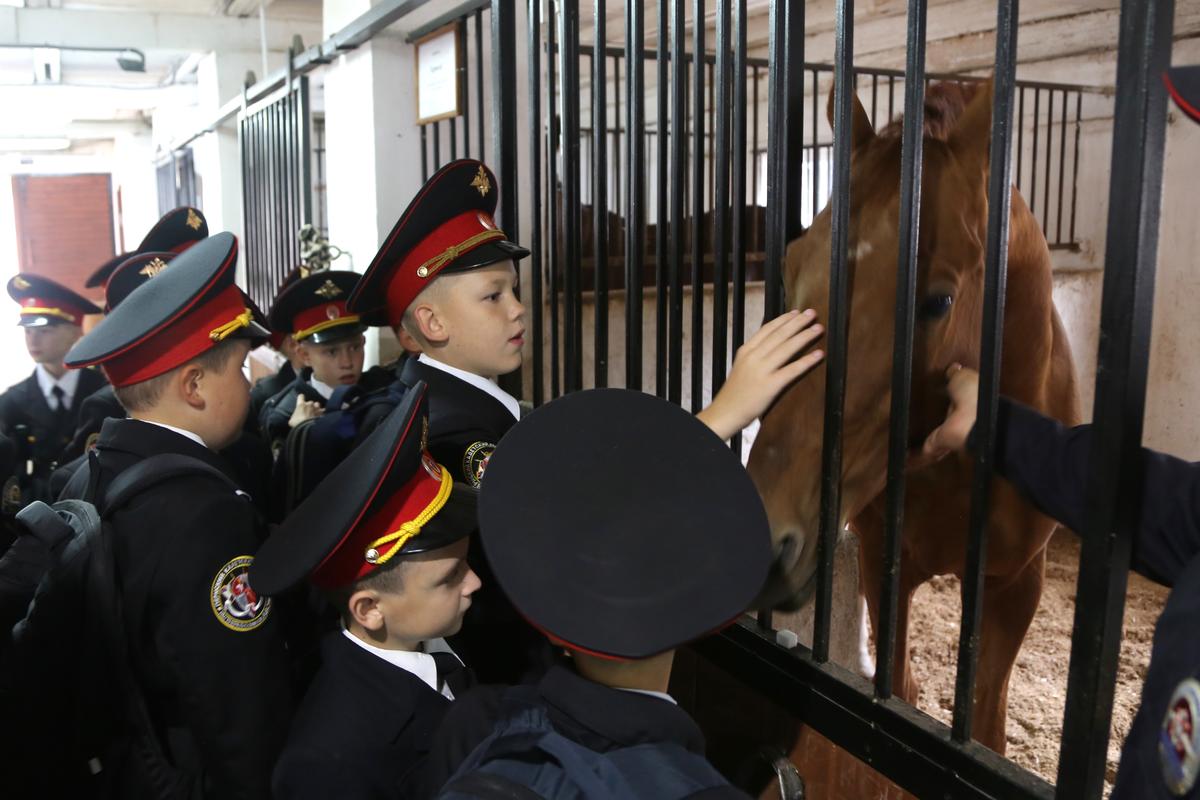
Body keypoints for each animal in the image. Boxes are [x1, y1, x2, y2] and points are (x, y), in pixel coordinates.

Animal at [748, 79, 1080, 753]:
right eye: (791, 265)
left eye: (938, 301)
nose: (763, 535)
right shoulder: (885, 562)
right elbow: (900, 689)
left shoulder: (1017, 586)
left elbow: (986, 726)